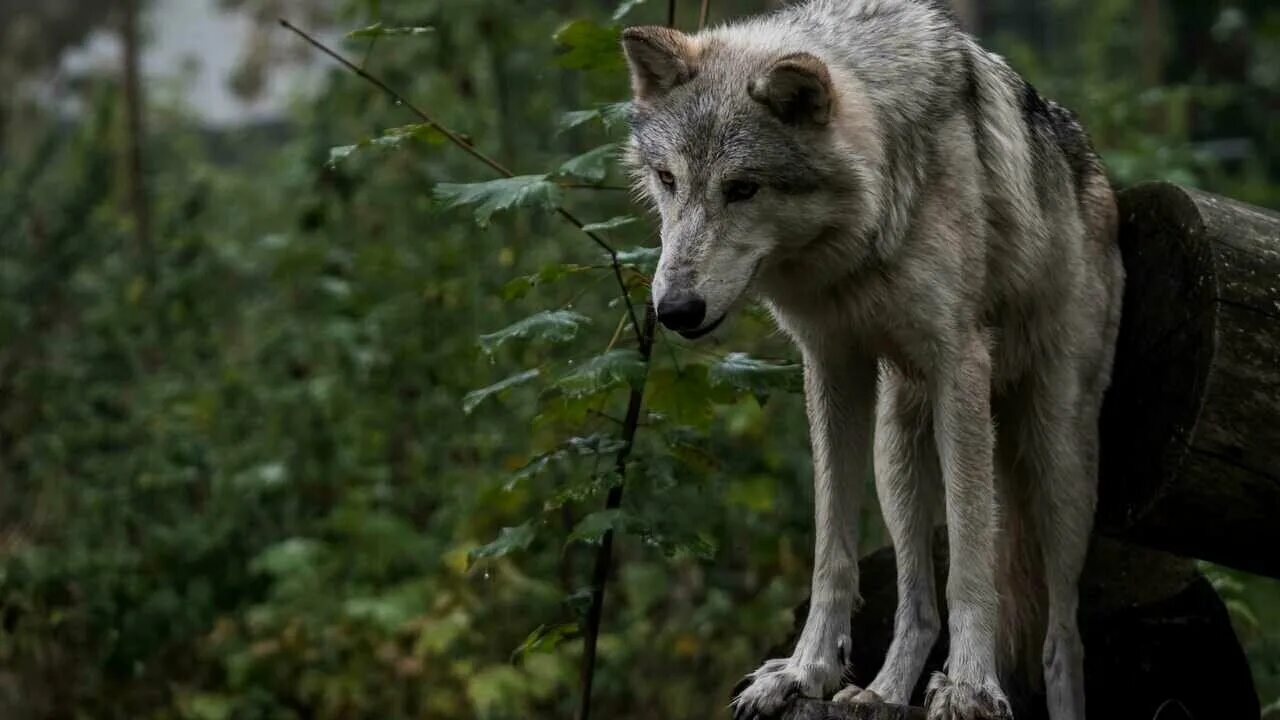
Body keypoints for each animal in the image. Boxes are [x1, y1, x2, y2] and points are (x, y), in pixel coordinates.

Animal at [624, 1, 1126, 717]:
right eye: (668, 180)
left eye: (743, 188)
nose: (674, 310)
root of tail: (1099, 174)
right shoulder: (833, 367)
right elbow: (831, 551)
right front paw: (805, 672)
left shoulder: (960, 365)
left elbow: (970, 557)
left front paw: (969, 686)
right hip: (897, 447)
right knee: (917, 606)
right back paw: (878, 694)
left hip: (1056, 463)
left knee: (1063, 643)